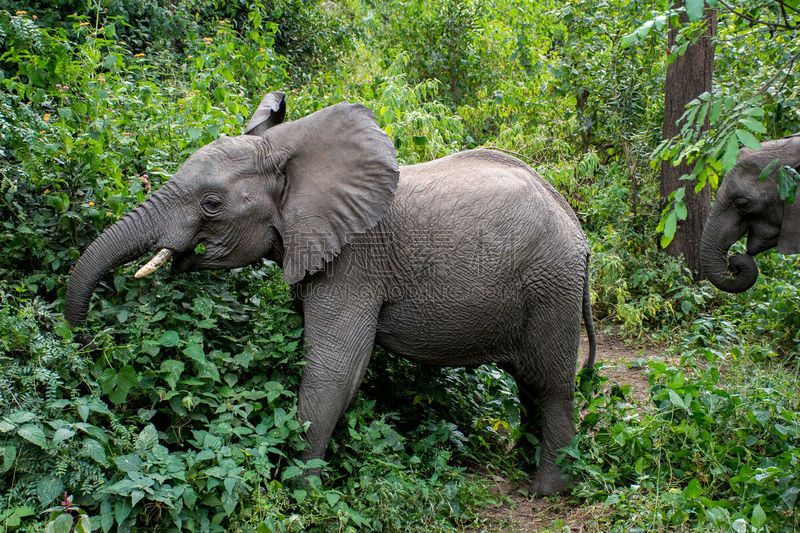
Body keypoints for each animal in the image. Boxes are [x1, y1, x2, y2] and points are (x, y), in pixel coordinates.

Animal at [64, 91, 592, 494]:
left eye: (211, 204)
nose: (83, 342)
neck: (292, 155)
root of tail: (577, 227)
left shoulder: (353, 265)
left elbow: (334, 370)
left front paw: (301, 493)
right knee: (528, 383)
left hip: (552, 285)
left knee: (550, 386)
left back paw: (547, 491)